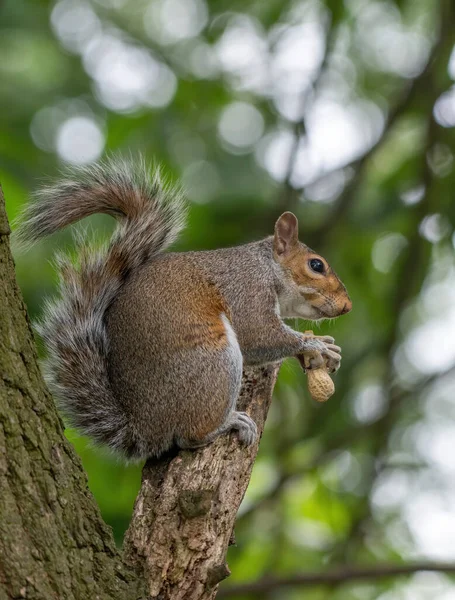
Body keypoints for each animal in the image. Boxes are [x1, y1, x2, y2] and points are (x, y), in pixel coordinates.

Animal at [16, 156, 352, 460]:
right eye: (316, 265)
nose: (347, 306)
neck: (266, 267)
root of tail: (145, 427)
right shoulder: (246, 290)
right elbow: (259, 335)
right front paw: (316, 345)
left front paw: (324, 350)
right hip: (213, 362)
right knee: (188, 436)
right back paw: (229, 423)